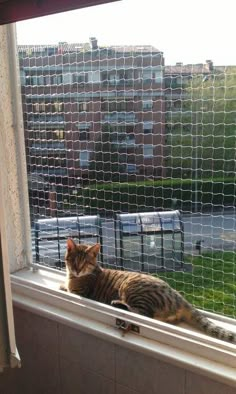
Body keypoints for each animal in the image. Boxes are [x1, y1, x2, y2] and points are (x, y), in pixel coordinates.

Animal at [60, 237, 236, 344]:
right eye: (73, 261)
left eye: (84, 263)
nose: (76, 270)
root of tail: (176, 294)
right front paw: (63, 285)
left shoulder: (80, 292)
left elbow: (70, 290)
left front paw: (64, 287)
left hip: (133, 289)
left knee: (144, 313)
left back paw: (118, 304)